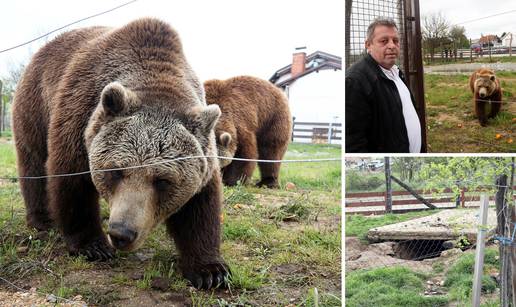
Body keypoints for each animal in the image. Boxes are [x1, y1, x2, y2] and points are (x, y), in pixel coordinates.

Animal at [11, 18, 229, 292]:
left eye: (162, 180)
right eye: (115, 170)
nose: (121, 233)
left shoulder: (203, 154)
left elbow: (200, 207)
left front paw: (211, 271)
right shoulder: (79, 116)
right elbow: (72, 181)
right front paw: (94, 246)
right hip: (35, 104)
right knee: (33, 162)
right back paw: (42, 219)